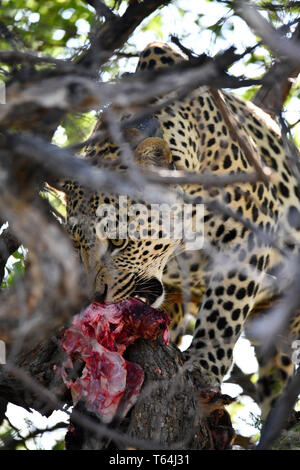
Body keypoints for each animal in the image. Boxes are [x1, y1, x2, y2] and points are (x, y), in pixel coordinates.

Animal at [62, 41, 300, 418]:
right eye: (76, 246)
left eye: (117, 241)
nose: (95, 297)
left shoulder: (248, 237)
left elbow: (222, 315)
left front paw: (203, 366)